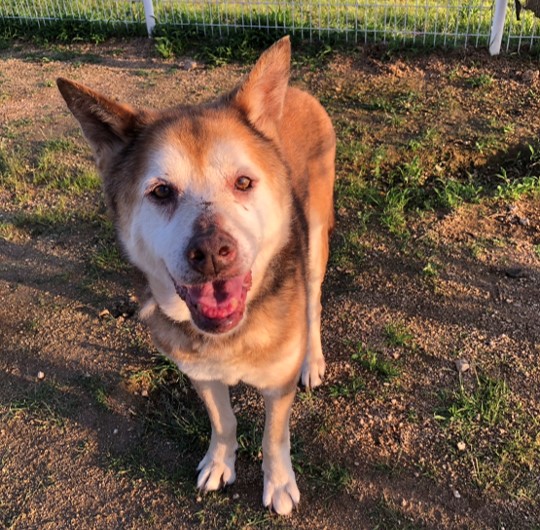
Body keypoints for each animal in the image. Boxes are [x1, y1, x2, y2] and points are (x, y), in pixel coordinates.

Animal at [57, 36, 335, 515]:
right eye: (161, 191)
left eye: (243, 182)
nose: (211, 253)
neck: (230, 335)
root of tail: (297, 93)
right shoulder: (200, 373)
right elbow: (224, 421)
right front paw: (220, 462)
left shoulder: (277, 386)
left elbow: (273, 438)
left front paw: (279, 483)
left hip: (316, 240)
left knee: (313, 302)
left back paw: (312, 360)